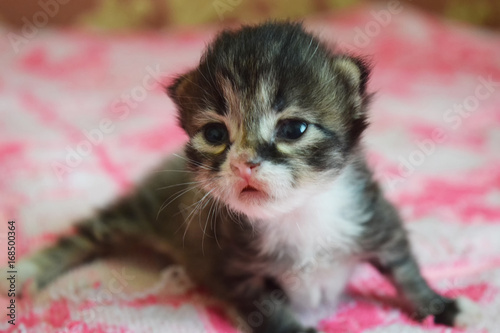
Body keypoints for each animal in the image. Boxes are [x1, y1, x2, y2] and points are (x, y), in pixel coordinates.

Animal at [2, 22, 480, 330]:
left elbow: (404, 270)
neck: (299, 215)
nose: (244, 162)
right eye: (215, 134)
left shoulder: (378, 219)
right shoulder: (235, 270)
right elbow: (271, 313)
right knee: (86, 233)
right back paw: (27, 271)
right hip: (138, 211)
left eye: (293, 129)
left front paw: (439, 306)